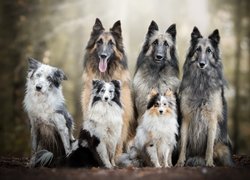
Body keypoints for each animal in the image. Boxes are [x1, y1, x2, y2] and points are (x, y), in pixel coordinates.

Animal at [177, 27, 233, 167]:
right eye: (198, 49)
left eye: (209, 50)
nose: (202, 64)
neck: (201, 82)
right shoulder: (186, 117)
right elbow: (183, 144)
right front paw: (180, 162)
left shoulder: (212, 119)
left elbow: (209, 146)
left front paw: (209, 163)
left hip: (222, 147)